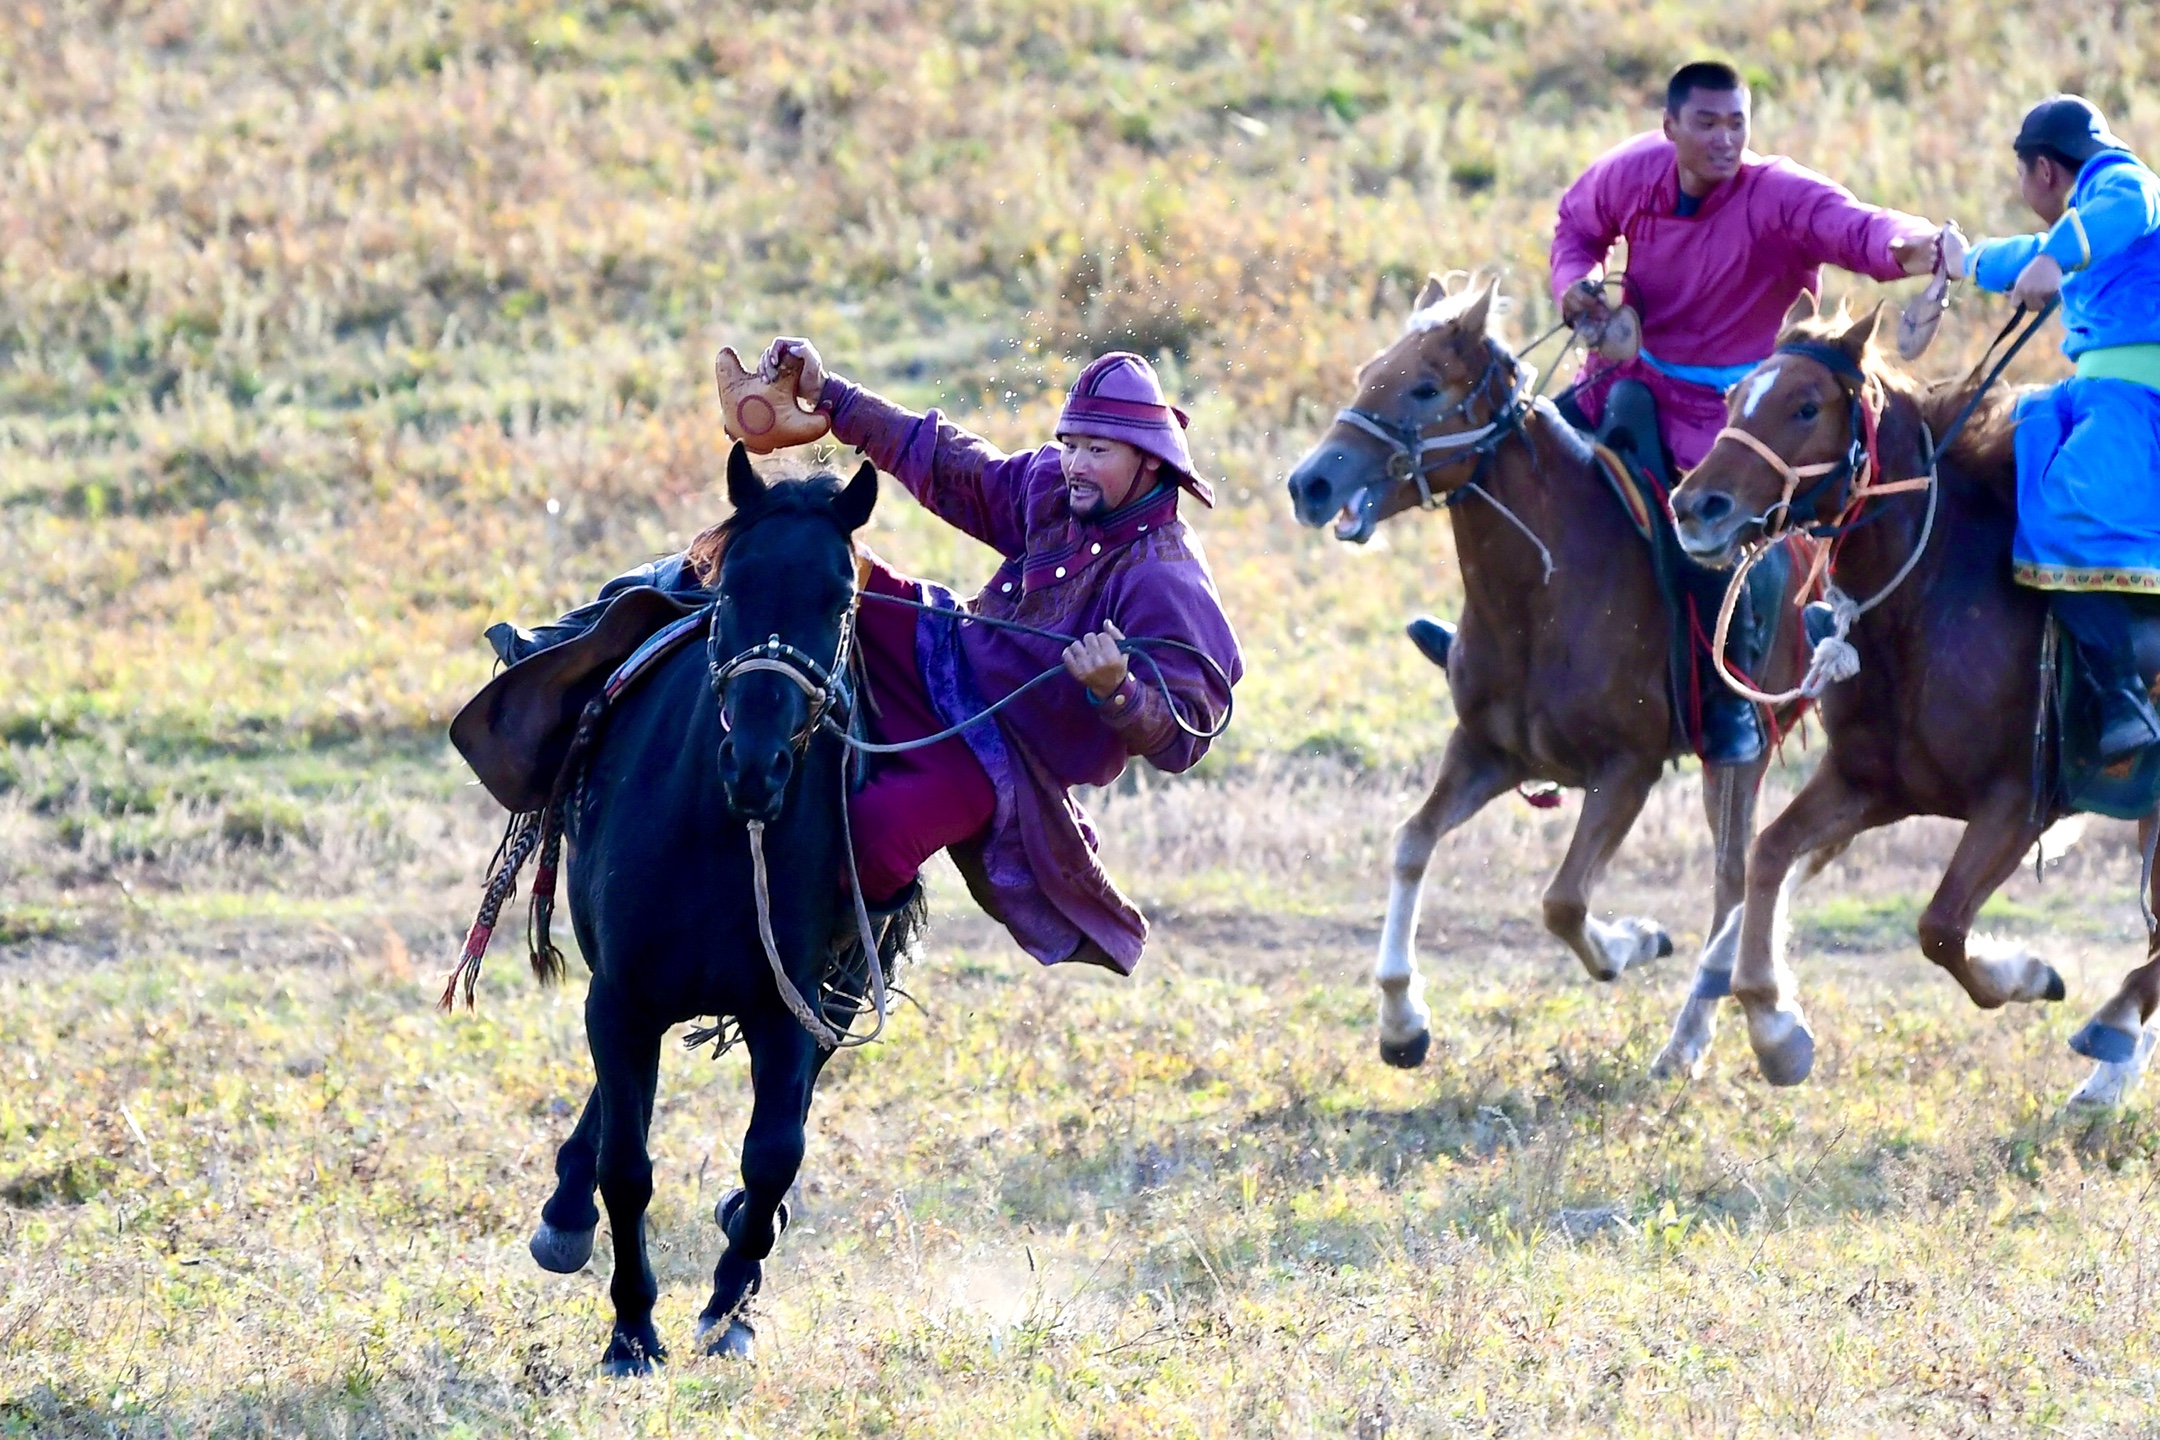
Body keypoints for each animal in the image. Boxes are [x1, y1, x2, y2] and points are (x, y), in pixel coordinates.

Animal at [531, 444, 902, 1373]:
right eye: (732, 587)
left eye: (840, 598)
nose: (758, 766)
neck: (721, 833)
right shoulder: (620, 997)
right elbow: (627, 1166)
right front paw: (631, 1333)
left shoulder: (790, 1003)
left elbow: (773, 1154)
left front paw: (729, 1305)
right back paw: (565, 1215)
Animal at [1278, 276, 1805, 1075]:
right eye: (1370, 372)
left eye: (1425, 387)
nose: (1310, 482)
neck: (1546, 593)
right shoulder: (1490, 753)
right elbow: (1410, 844)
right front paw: (1402, 1018)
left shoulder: (1626, 771)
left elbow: (1563, 902)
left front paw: (1631, 943)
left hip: (1739, 756)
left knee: (1732, 880)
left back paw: (1695, 1037)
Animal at [1658, 295, 2151, 1105]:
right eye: (1732, 399)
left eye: (1805, 405)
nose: (1696, 506)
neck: (1930, 601)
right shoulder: (1871, 783)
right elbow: (1768, 853)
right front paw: (1775, 1027)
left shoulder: (2017, 805)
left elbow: (1940, 926)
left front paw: (2028, 974)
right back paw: (2109, 1074)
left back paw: (2112, 1031)